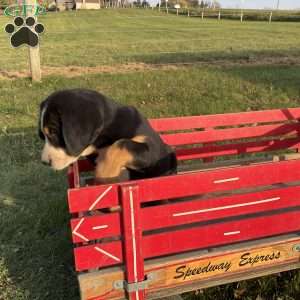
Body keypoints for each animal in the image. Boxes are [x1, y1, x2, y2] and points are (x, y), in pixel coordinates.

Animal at [38, 88, 177, 184]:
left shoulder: (151, 147)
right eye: (42, 135)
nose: (44, 162)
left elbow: (121, 144)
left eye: (53, 132)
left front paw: (104, 175)